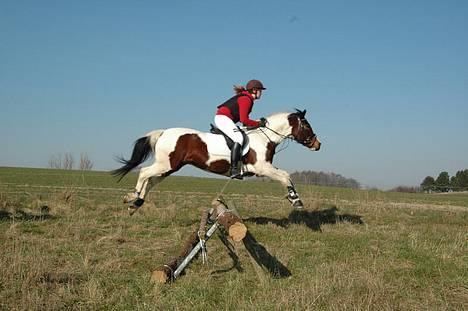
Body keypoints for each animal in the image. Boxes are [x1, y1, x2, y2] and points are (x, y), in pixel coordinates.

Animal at [111, 109, 320, 214]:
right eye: (307, 126)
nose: (318, 145)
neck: (264, 137)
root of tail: (163, 132)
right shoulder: (263, 168)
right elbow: (285, 176)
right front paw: (296, 201)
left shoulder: (265, 169)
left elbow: (285, 175)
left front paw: (294, 199)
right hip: (166, 165)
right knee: (144, 172)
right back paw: (133, 197)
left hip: (170, 168)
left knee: (152, 181)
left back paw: (135, 203)